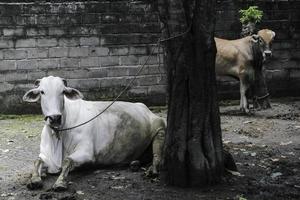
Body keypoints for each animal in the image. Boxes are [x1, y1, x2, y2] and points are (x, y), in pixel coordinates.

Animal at [22, 76, 165, 191]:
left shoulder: (86, 153)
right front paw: (35, 180)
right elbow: (37, 161)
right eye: (42, 91)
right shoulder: (45, 155)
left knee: (157, 156)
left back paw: (152, 170)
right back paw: (134, 164)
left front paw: (60, 183)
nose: (55, 118)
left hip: (160, 129)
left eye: (62, 91)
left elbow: (67, 161)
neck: (58, 136)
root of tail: (144, 107)